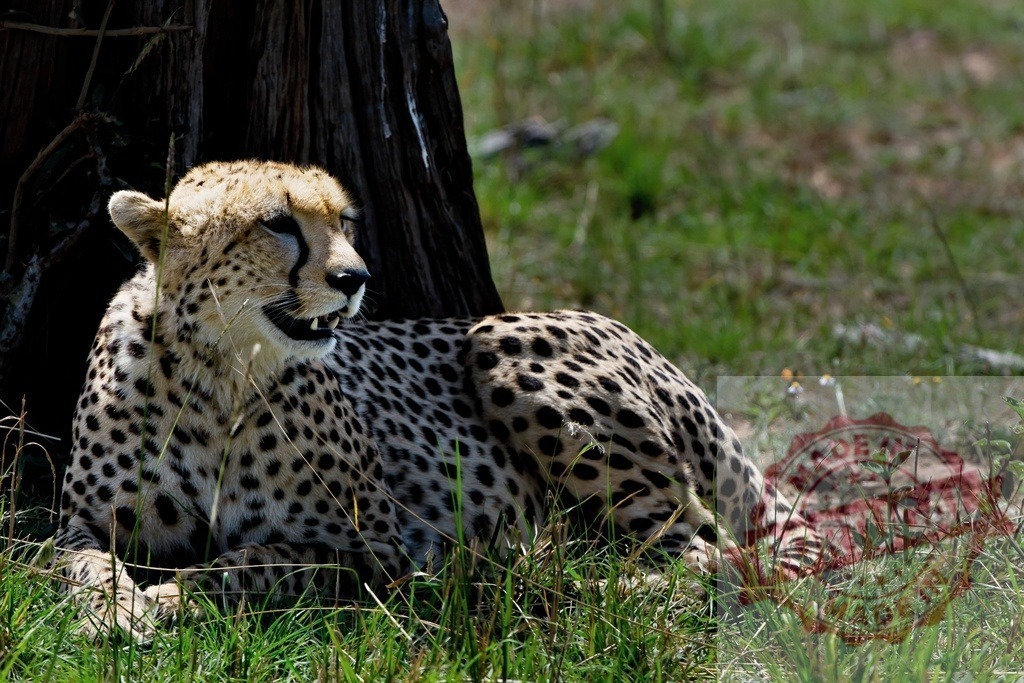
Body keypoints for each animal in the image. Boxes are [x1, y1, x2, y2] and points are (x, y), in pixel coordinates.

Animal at [56, 160, 823, 640]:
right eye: (278, 223)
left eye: (344, 221)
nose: (356, 278)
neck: (220, 372)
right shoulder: (84, 521)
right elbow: (82, 563)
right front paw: (113, 609)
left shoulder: (374, 549)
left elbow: (249, 563)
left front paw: (168, 595)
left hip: (500, 342)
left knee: (706, 555)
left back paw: (551, 582)